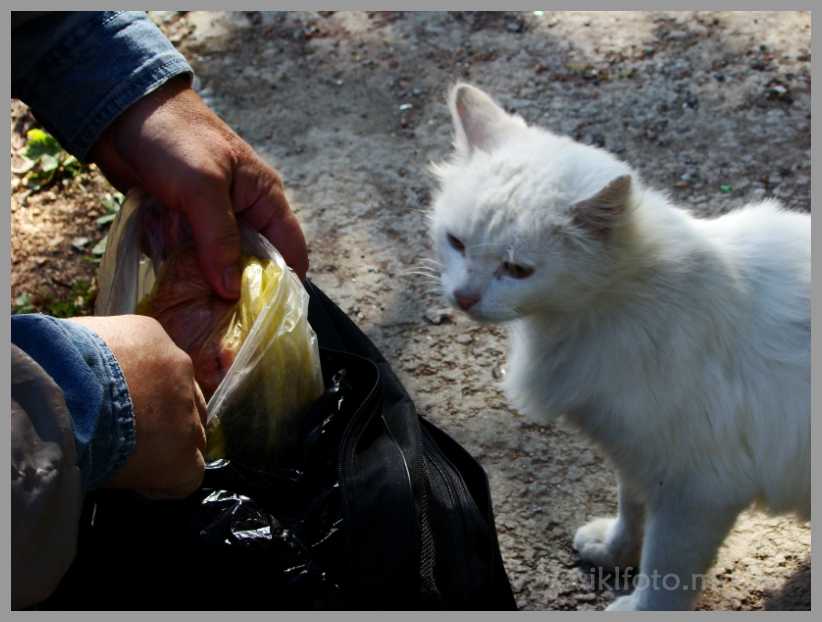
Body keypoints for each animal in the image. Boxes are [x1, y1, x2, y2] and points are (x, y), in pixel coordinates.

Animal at [432, 80, 812, 612]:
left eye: (518, 269)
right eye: (456, 243)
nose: (464, 297)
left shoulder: (696, 490)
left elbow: (666, 571)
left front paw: (641, 607)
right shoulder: (635, 454)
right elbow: (631, 511)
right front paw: (613, 552)